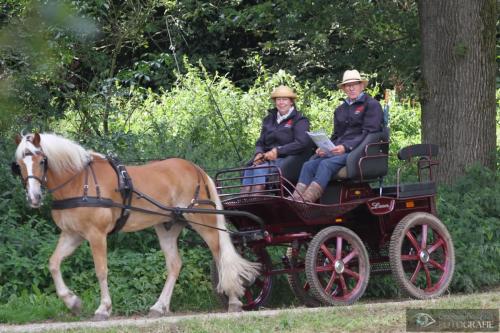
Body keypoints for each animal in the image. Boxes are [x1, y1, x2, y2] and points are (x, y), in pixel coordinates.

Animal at [13, 132, 260, 320]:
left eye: (42, 161)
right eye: (19, 165)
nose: (34, 198)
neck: (79, 182)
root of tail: (195, 168)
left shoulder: (96, 234)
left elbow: (101, 270)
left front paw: (103, 308)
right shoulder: (72, 234)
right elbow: (53, 263)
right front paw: (72, 302)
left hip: (204, 221)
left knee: (220, 257)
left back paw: (234, 300)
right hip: (168, 226)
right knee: (175, 264)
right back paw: (159, 306)